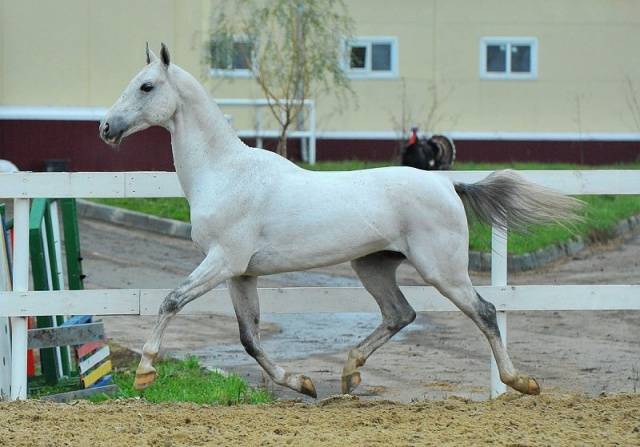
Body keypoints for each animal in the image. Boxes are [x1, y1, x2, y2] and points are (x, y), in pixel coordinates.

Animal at [99, 43, 580, 398]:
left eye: (146, 86)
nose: (105, 128)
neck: (226, 172)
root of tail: (448, 185)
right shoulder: (241, 273)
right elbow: (249, 337)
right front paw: (303, 383)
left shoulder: (222, 261)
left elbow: (171, 301)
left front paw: (144, 372)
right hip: (373, 265)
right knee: (400, 314)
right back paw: (349, 374)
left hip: (442, 269)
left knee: (484, 312)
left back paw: (522, 383)